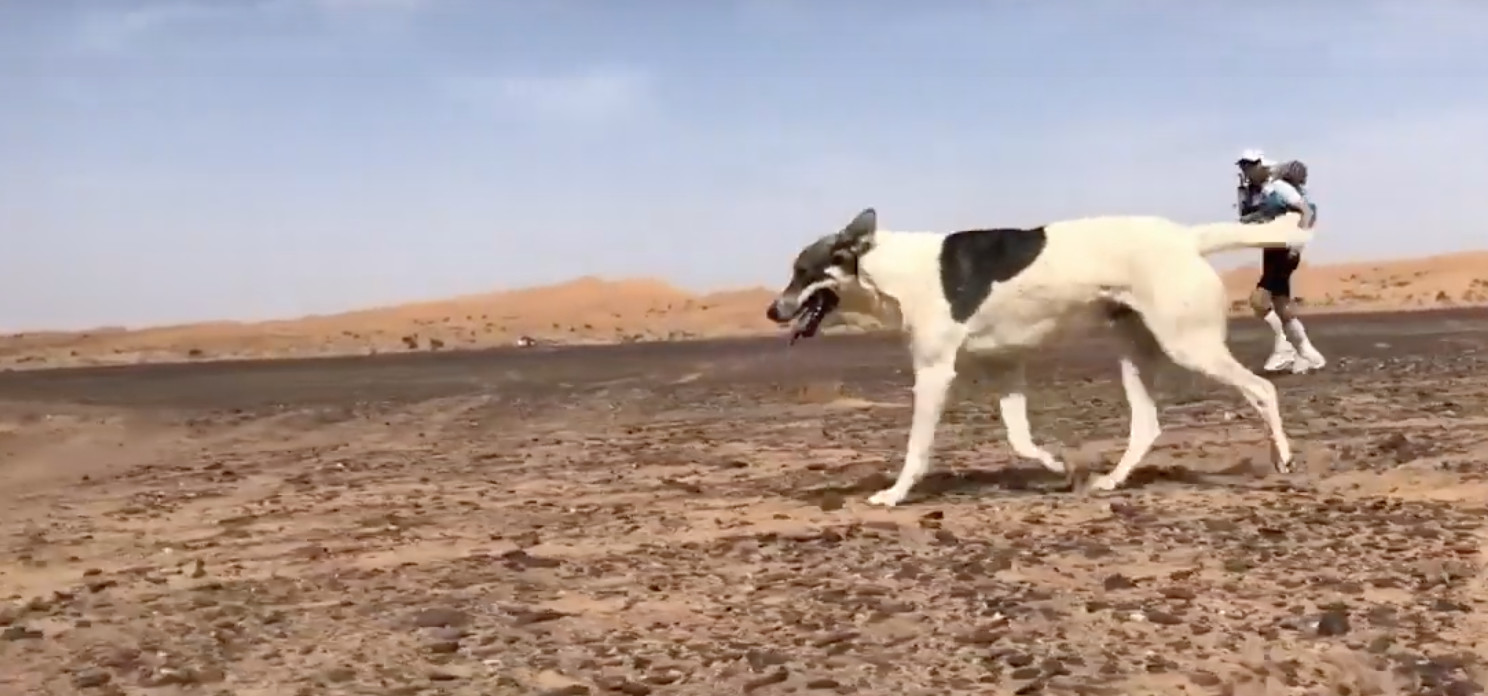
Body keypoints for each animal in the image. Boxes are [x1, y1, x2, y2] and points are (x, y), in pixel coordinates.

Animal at [766, 208, 1313, 507]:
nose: (773, 310)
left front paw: (894, 494)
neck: (887, 269)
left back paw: (1283, 458)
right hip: (1135, 353)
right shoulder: (1006, 366)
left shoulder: (935, 372)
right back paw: (1110, 481)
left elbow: (917, 449)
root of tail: (1187, 236)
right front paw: (1058, 466)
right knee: (1147, 426)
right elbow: (1021, 439)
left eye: (802, 271)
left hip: (1189, 344)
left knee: (1261, 389)